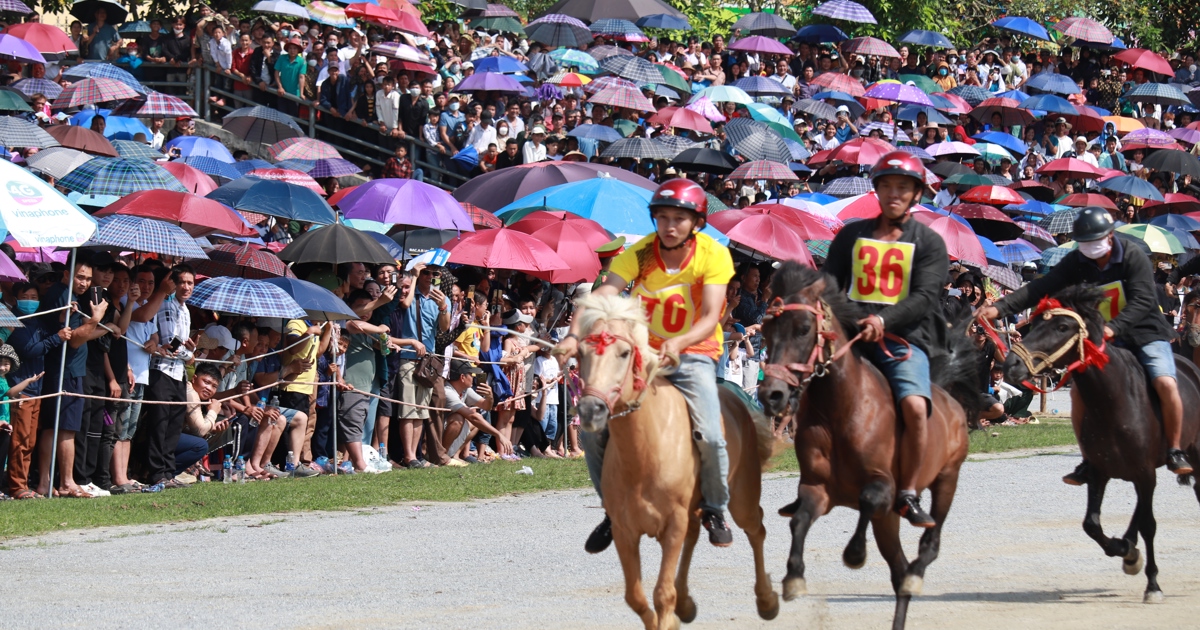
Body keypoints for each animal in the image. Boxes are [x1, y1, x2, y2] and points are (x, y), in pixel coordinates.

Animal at [576, 294, 782, 628]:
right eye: (580, 352)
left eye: (624, 353)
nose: (590, 410)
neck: (645, 452)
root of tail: (737, 397)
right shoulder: (625, 531)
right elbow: (636, 596)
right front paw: (668, 617)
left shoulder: (672, 524)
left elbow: (662, 593)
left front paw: (668, 616)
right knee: (695, 536)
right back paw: (686, 604)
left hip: (742, 499)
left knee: (756, 530)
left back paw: (767, 601)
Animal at [758, 261, 984, 628]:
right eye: (765, 328)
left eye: (804, 328)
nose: (772, 394)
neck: (841, 410)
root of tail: (946, 397)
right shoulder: (818, 490)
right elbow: (799, 520)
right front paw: (794, 579)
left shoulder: (885, 486)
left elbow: (868, 497)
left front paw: (854, 554)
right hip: (889, 520)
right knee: (898, 570)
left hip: (946, 479)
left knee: (928, 545)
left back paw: (915, 571)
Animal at [1003, 282, 1200, 602]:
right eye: (1035, 322)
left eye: (1062, 326)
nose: (1011, 364)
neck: (1114, 399)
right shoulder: (1100, 471)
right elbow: (1092, 525)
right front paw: (1125, 551)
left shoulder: (1144, 472)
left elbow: (1149, 525)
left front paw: (1153, 584)